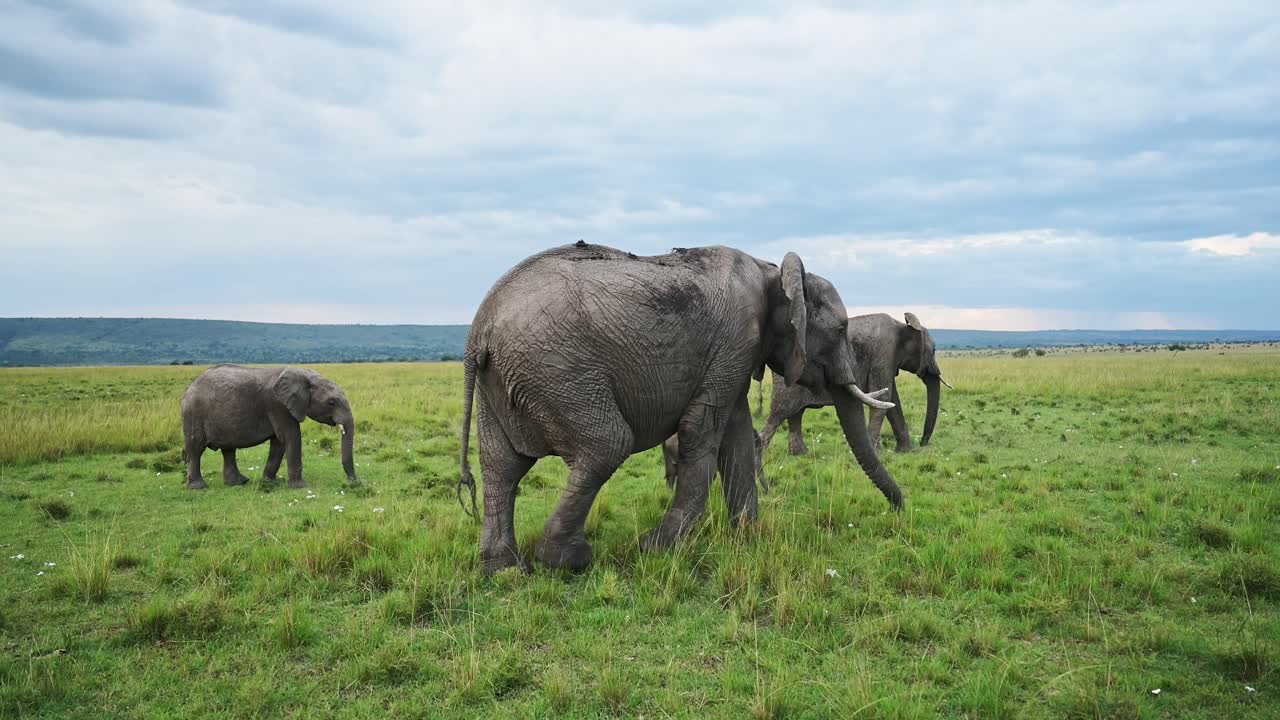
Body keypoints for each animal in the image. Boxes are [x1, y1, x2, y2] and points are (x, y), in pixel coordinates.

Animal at [181, 365, 358, 490]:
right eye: (331, 402)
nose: (355, 482)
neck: (305, 375)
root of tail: (190, 387)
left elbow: (279, 443)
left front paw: (270, 482)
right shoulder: (278, 405)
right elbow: (292, 437)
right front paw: (300, 487)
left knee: (228, 449)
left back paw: (238, 482)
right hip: (194, 413)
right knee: (196, 447)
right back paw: (198, 487)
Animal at [457, 241, 903, 575]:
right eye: (841, 330)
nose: (898, 508)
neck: (773, 271)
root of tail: (480, 331)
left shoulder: (736, 356)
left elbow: (737, 438)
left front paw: (747, 537)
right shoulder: (734, 340)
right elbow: (701, 432)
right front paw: (657, 548)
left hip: (507, 382)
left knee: (501, 466)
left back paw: (504, 570)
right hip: (559, 371)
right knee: (606, 446)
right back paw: (565, 561)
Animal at [759, 312, 951, 458]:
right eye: (934, 350)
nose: (923, 443)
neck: (902, 325)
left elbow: (892, 402)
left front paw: (907, 452)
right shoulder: (884, 353)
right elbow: (884, 397)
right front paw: (877, 453)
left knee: (795, 414)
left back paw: (801, 455)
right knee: (779, 414)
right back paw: (764, 455)